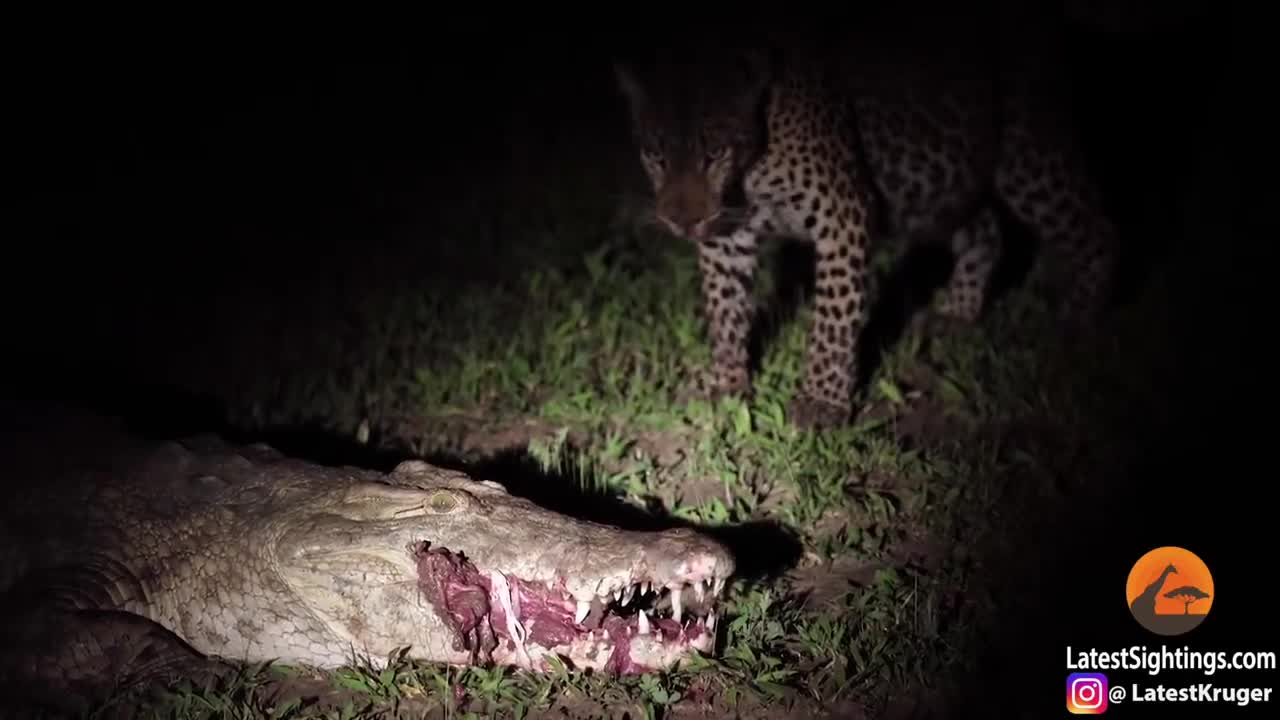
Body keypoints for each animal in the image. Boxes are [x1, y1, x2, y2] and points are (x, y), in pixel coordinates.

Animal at [611, 11, 1121, 427]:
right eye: (655, 156)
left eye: (713, 153)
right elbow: (724, 307)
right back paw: (957, 315)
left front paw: (822, 402)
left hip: (1027, 157)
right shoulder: (725, 233)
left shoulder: (842, 214)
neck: (749, 172)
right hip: (940, 184)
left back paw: (1076, 324)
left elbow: (834, 318)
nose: (680, 224)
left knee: (1096, 229)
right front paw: (727, 383)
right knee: (988, 230)